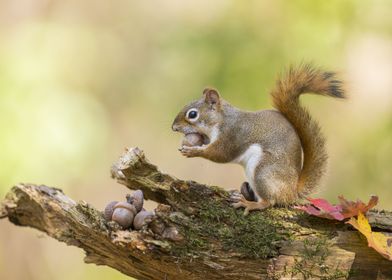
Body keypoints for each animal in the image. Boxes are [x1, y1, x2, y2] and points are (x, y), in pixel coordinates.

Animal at [171, 64, 344, 215]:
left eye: (193, 114)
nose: (174, 127)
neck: (222, 120)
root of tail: (292, 191)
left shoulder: (232, 134)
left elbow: (220, 154)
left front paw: (193, 151)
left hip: (263, 172)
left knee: (269, 202)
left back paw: (250, 204)